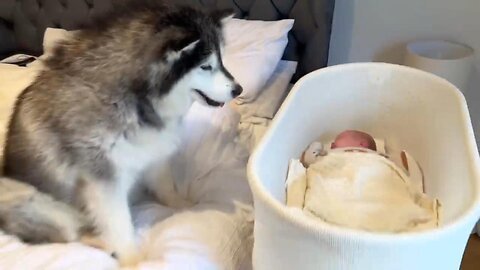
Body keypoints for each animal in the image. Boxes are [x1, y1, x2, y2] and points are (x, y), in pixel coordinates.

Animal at [0, 0, 240, 266]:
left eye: (221, 61)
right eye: (206, 66)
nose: (238, 90)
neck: (136, 99)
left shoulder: (154, 153)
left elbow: (167, 186)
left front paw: (182, 206)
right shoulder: (103, 181)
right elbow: (118, 223)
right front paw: (133, 260)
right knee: (70, 234)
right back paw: (102, 243)